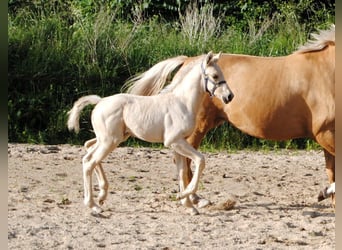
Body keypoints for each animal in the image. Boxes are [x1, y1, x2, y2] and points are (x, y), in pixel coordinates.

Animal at [67, 51, 232, 215]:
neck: (182, 103)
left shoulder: (179, 144)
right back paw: (93, 205)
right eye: (215, 76)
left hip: (111, 139)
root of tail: (100, 102)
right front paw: (183, 196)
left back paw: (101, 196)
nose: (229, 96)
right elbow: (200, 160)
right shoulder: (174, 141)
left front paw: (189, 206)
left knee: (88, 152)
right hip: (110, 141)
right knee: (89, 163)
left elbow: (182, 172)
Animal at [125, 24, 334, 206]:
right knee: (185, 160)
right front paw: (323, 194)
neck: (327, 73)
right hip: (196, 129)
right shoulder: (325, 134)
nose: (229, 96)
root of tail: (187, 61)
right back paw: (194, 199)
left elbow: (331, 171)